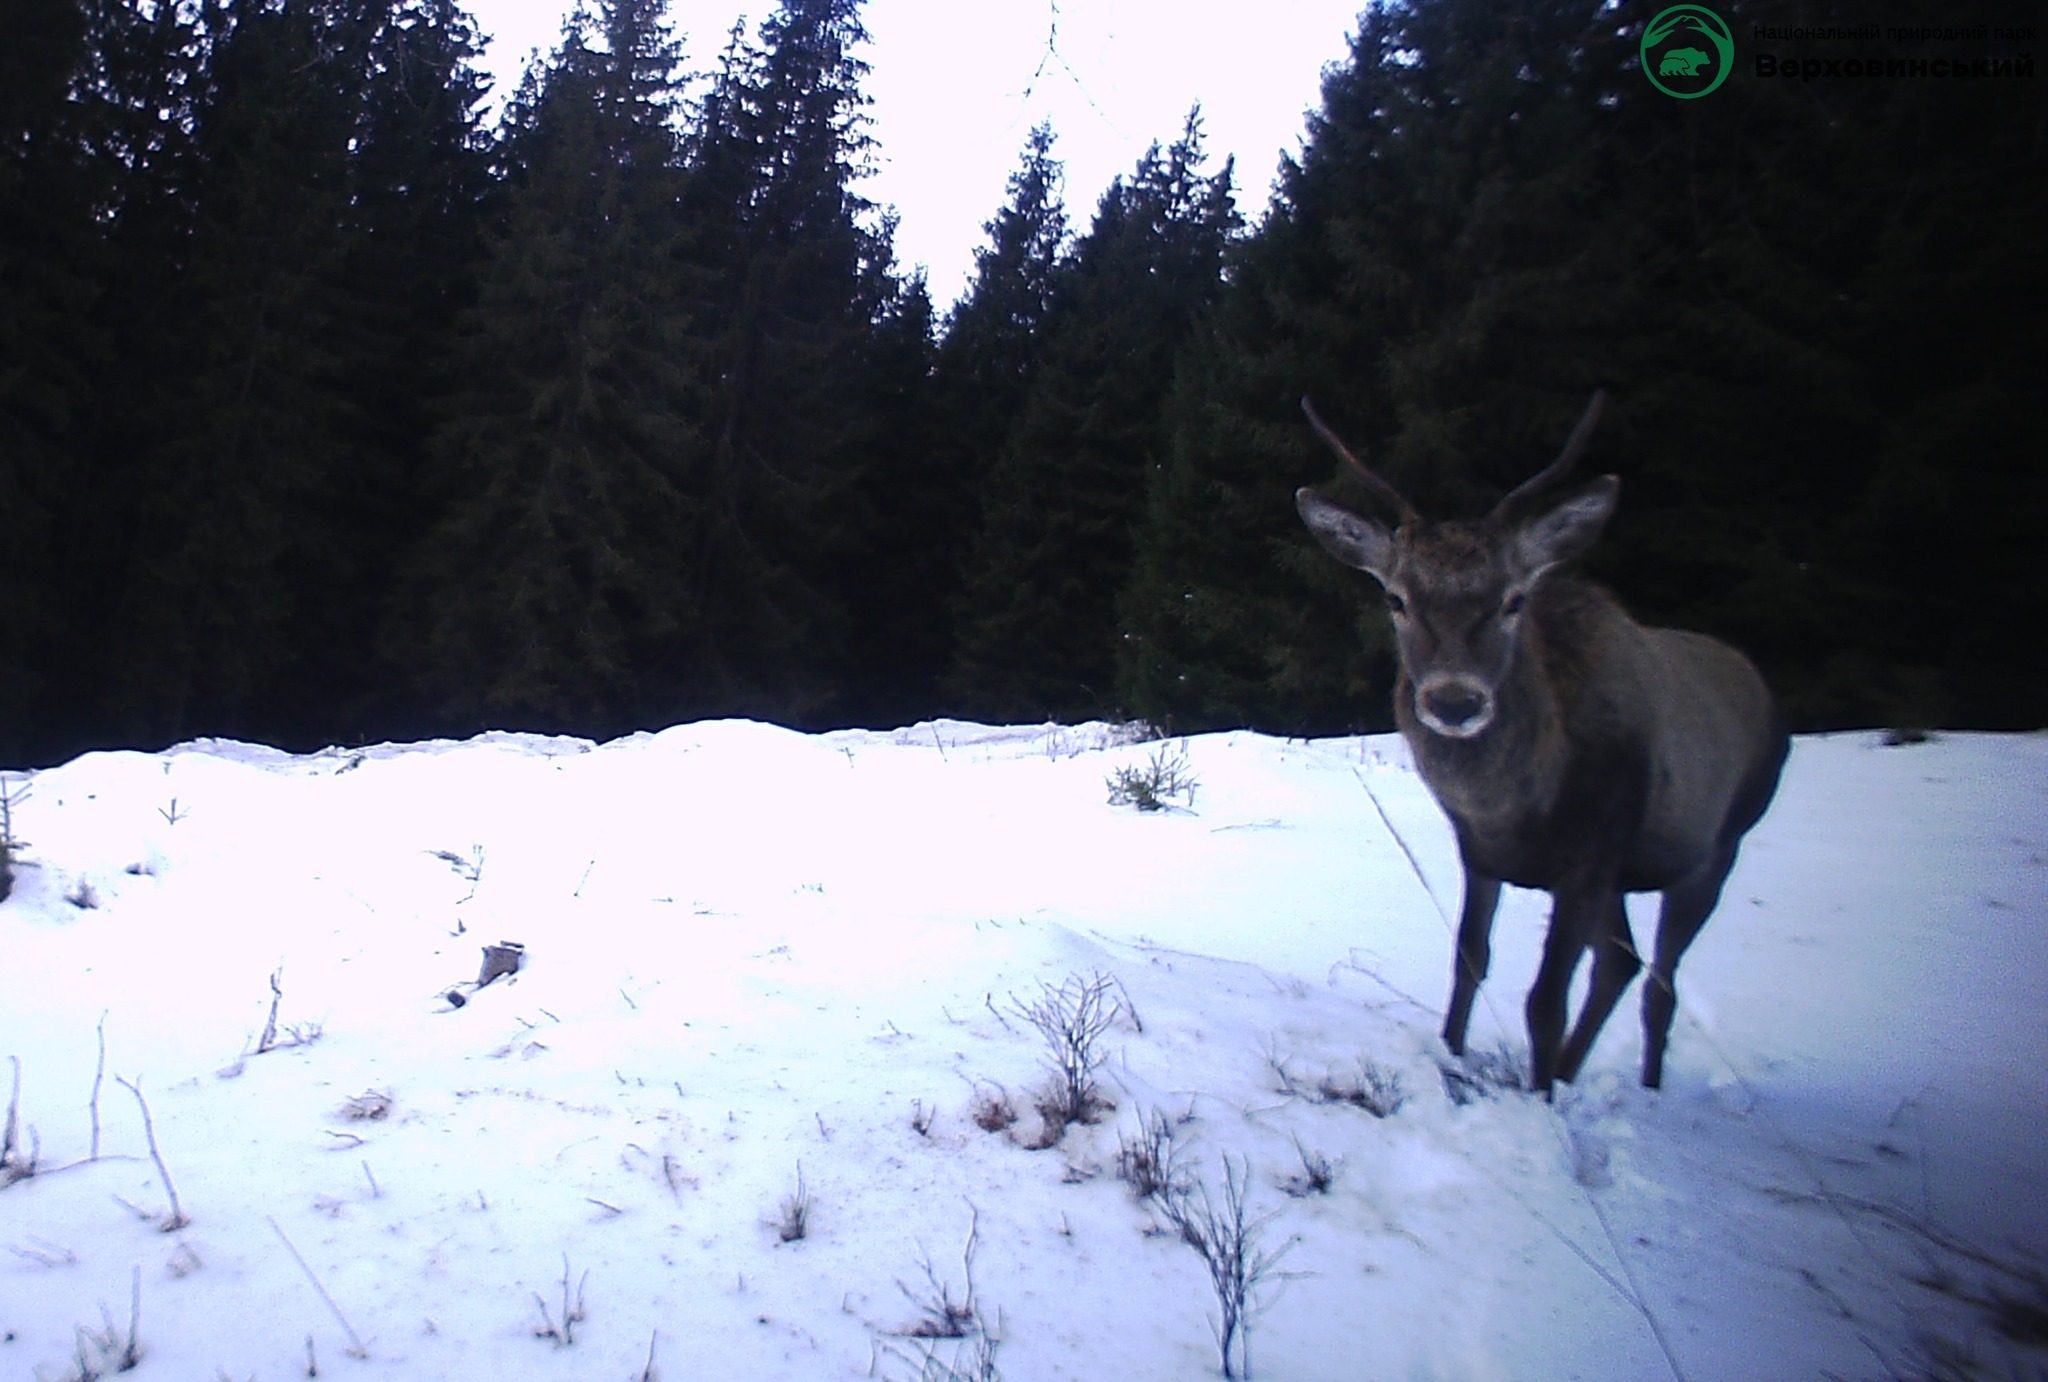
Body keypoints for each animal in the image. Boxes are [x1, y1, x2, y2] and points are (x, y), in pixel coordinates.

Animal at [1302, 395, 1785, 1097]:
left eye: (1513, 600)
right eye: (1397, 598)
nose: (1455, 701)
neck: (1516, 807)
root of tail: (1765, 692)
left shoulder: (1591, 852)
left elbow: (1544, 1000)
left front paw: (1540, 1099)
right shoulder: (1480, 852)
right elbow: (1469, 960)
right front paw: (1454, 1053)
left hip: (1717, 846)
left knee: (1658, 983)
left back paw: (1640, 1085)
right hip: (1624, 877)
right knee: (1621, 962)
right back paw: (1572, 1070)